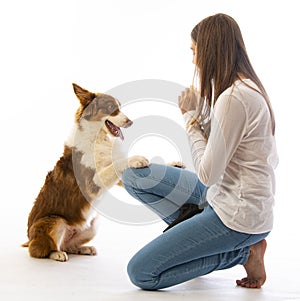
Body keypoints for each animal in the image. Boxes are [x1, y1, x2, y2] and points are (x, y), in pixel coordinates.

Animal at [23, 84, 149, 260]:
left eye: (120, 107)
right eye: (111, 108)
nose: (130, 122)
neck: (98, 138)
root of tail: (29, 238)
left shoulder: (114, 179)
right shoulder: (91, 184)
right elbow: (116, 164)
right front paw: (136, 158)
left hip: (93, 225)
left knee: (68, 245)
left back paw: (83, 249)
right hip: (55, 221)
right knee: (39, 250)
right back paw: (56, 254)